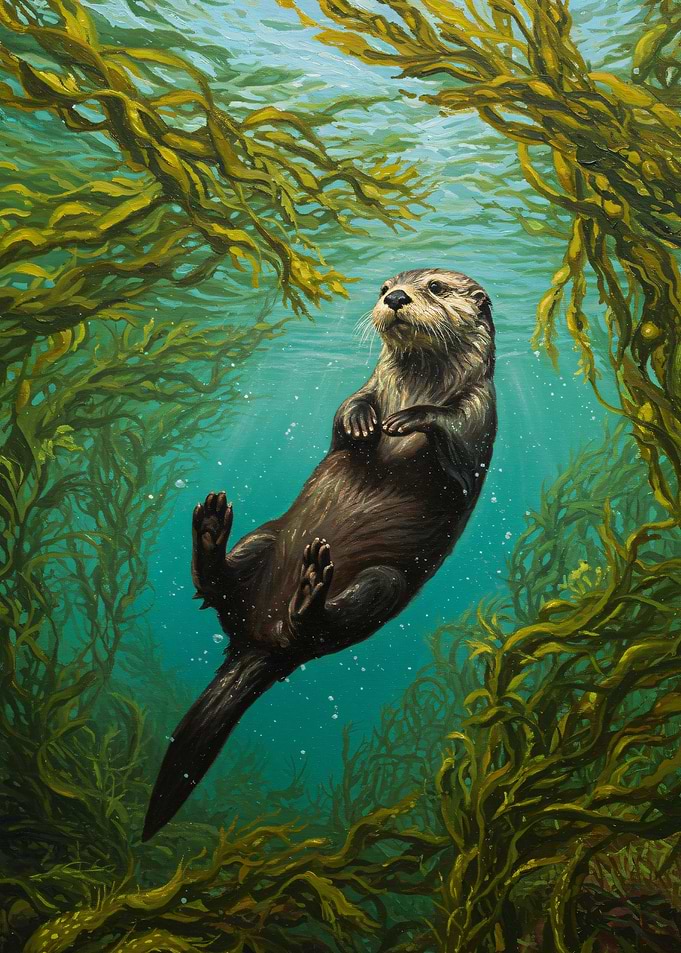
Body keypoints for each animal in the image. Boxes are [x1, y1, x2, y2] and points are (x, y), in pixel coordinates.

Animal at [142, 267, 496, 840]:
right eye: (384, 287)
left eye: (437, 287)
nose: (397, 298)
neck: (417, 385)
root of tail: (259, 640)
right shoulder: (369, 385)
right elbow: (344, 415)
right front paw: (361, 421)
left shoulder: (479, 416)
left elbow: (456, 451)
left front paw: (412, 420)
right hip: (265, 537)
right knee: (219, 587)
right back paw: (213, 530)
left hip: (382, 583)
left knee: (321, 626)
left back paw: (310, 592)